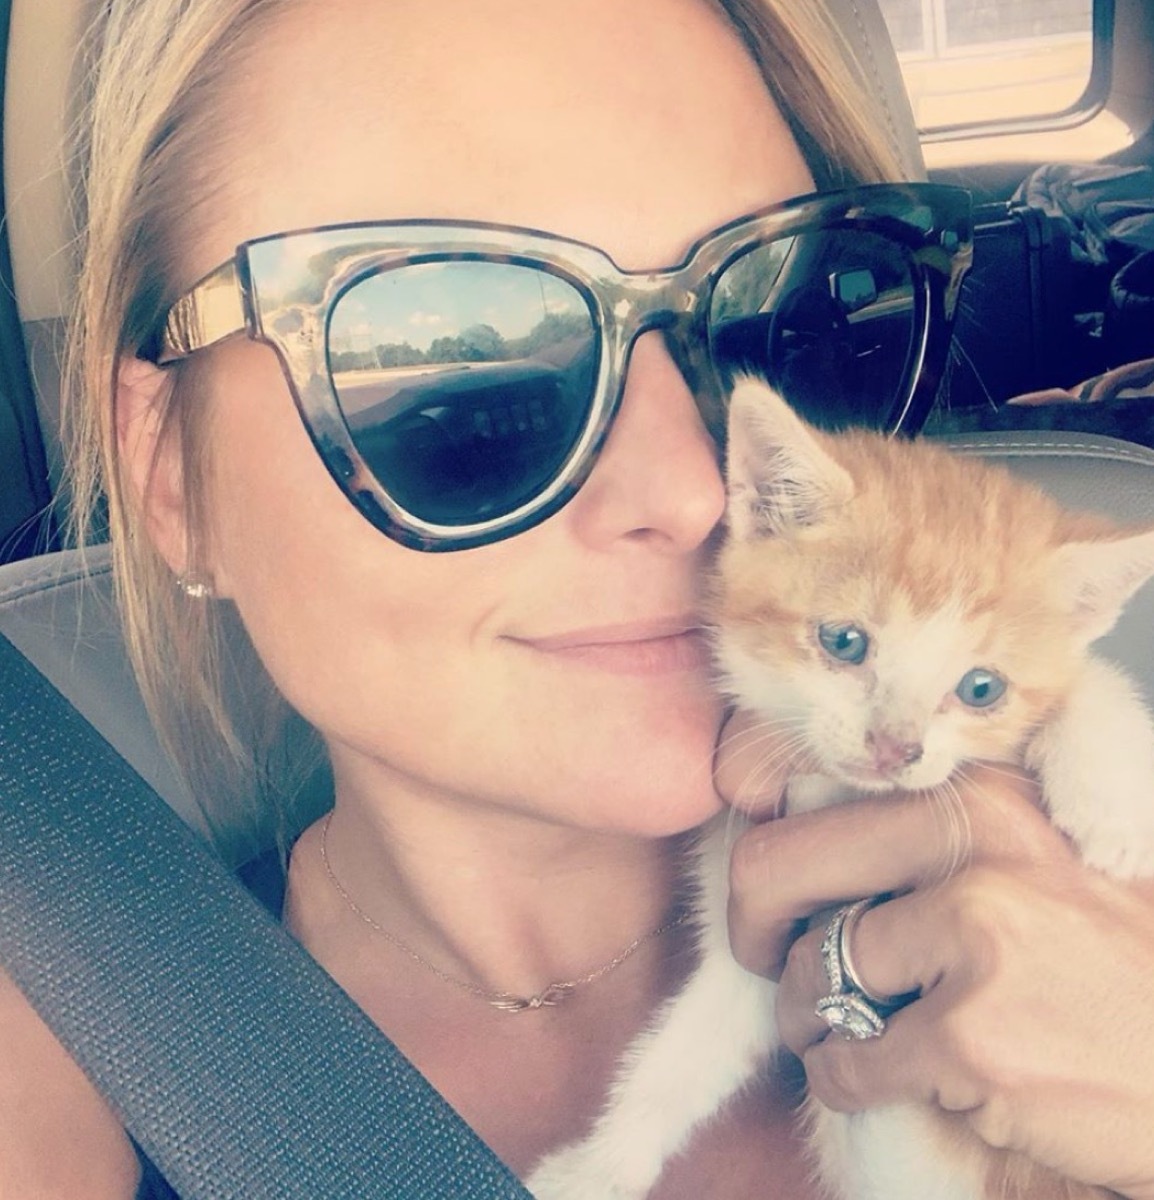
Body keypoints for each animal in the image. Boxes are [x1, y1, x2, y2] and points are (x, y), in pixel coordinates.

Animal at [525, 376, 1151, 1200]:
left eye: (981, 688)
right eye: (845, 642)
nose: (895, 747)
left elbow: (1091, 682)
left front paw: (1115, 804)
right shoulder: (754, 939)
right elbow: (684, 1052)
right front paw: (597, 1167)